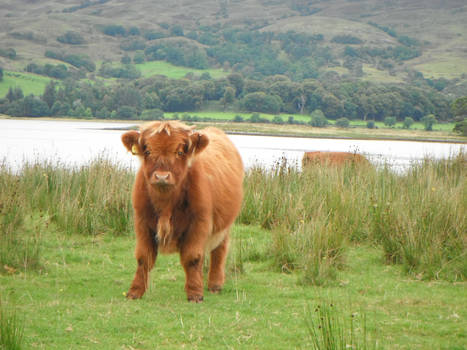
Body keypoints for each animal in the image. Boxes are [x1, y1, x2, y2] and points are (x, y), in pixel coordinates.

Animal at [120, 121, 245, 302]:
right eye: (148, 151)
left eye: (179, 152)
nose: (162, 177)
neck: (166, 205)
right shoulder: (142, 222)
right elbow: (144, 257)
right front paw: (135, 291)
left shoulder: (199, 222)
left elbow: (192, 257)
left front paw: (195, 293)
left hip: (224, 225)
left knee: (219, 250)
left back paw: (214, 284)